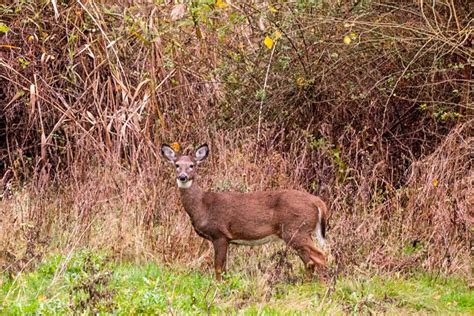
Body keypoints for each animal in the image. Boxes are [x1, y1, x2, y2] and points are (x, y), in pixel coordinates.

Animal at [161, 144, 328, 282]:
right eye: (176, 165)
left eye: (191, 165)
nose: (183, 177)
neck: (203, 206)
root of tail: (318, 202)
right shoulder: (227, 239)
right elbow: (224, 268)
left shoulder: (220, 234)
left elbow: (218, 268)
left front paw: (218, 287)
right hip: (299, 232)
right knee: (310, 262)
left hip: (296, 229)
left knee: (320, 257)